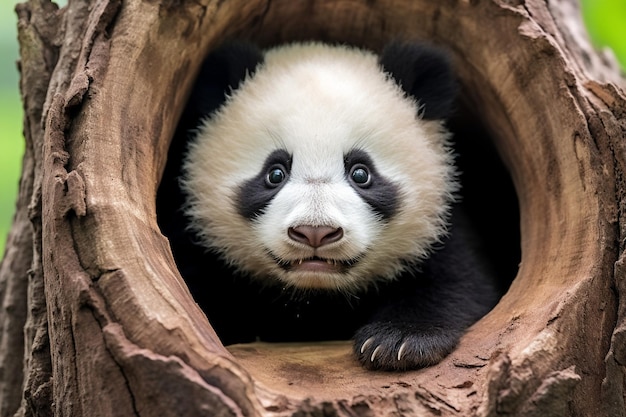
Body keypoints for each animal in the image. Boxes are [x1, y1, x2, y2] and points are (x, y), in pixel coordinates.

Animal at [158, 39, 500, 370]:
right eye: (275, 173)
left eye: (361, 173)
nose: (315, 233)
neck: (315, 296)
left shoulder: (438, 229)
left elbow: (458, 285)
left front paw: (397, 342)